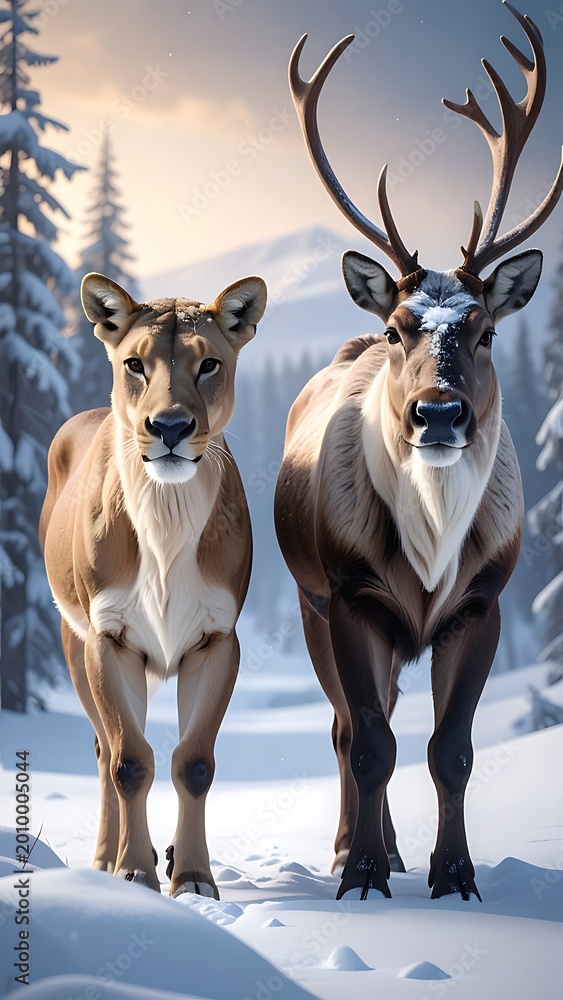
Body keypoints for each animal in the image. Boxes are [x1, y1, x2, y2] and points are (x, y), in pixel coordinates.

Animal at [40, 272, 267, 898]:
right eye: (135, 363)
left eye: (209, 363)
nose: (168, 427)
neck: (165, 520)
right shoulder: (109, 639)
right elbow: (130, 760)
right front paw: (135, 871)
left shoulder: (216, 640)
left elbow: (194, 762)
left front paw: (192, 878)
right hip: (73, 643)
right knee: (103, 750)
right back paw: (103, 860)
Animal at [275, 2, 562, 901]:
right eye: (403, 327)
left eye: (486, 328)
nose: (438, 412)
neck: (431, 547)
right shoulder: (351, 592)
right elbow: (369, 743)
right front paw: (362, 873)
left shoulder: (482, 603)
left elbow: (451, 751)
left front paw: (455, 875)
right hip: (311, 602)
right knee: (345, 727)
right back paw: (354, 849)